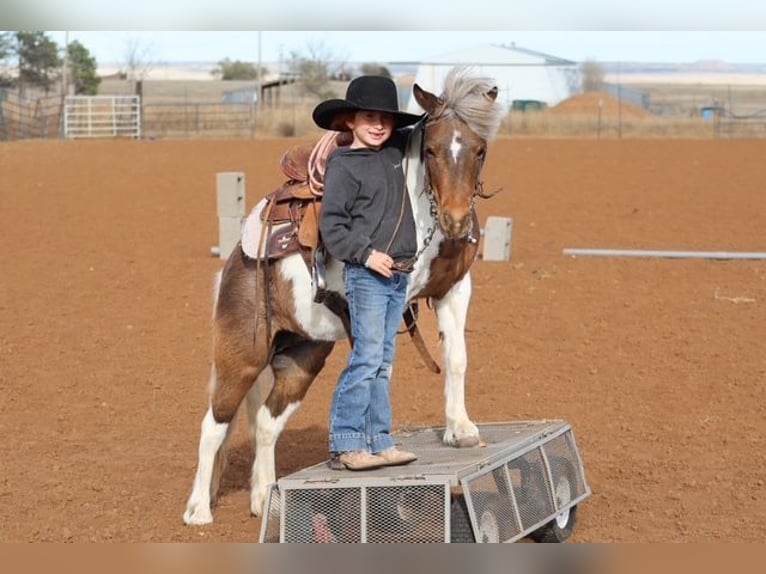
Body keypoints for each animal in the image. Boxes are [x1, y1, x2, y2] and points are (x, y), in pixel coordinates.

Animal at [183, 66, 505, 525]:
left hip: (303, 356)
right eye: (432, 150)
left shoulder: (455, 290)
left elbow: (456, 358)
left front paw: (461, 430)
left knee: (265, 421)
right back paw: (198, 510)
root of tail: (233, 262)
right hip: (242, 357)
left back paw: (265, 500)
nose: (457, 221)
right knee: (214, 425)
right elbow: (376, 375)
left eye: (479, 149)